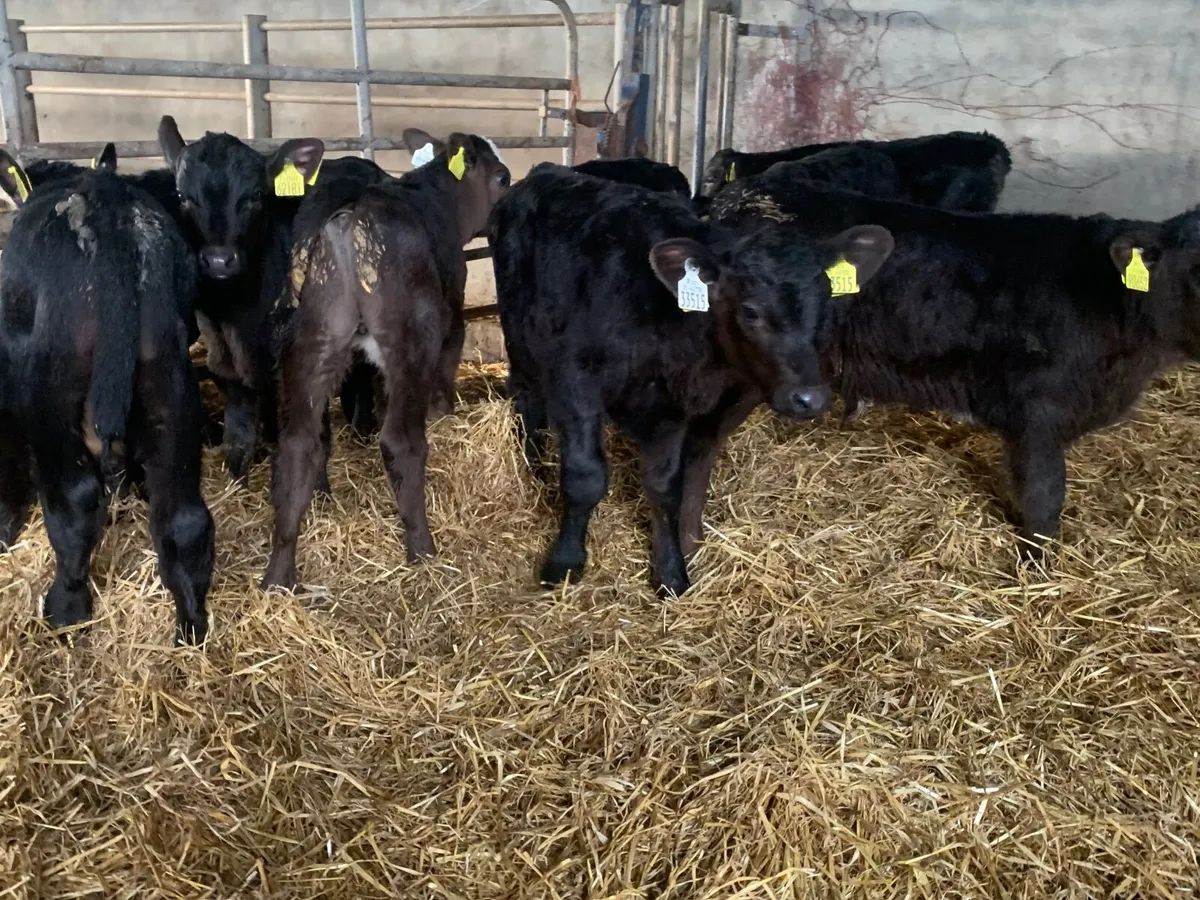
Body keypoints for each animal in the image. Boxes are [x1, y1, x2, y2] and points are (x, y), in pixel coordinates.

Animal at [0, 151, 212, 644]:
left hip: (51, 396)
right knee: (185, 517)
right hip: (170, 383)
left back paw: (66, 606)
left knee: (74, 504)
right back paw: (190, 622)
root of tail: (113, 220)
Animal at [157, 115, 325, 485]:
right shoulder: (225, 362)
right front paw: (239, 480)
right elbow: (238, 435)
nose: (219, 260)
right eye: (182, 196)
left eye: (256, 195)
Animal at [260, 130, 511, 590]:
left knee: (298, 445)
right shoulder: (452, 321)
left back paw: (279, 575)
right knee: (401, 441)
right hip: (410, 343)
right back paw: (423, 550)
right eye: (502, 177)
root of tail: (348, 216)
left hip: (312, 343)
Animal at [489, 163, 893, 596]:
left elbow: (665, 486)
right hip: (520, 339)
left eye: (827, 304)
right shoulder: (576, 380)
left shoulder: (673, 405)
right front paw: (565, 562)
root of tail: (548, 170)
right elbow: (585, 477)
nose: (810, 398)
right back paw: (535, 469)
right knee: (527, 401)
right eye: (750, 312)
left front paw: (670, 572)